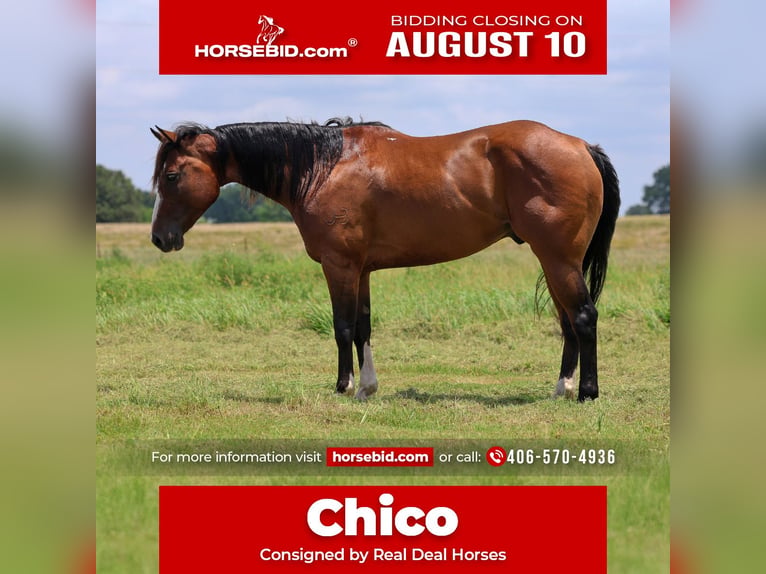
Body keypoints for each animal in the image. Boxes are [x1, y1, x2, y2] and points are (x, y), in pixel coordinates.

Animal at [150, 118, 620, 402]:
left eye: (171, 175)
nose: (160, 238)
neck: (324, 167)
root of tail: (582, 146)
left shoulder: (339, 265)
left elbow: (341, 327)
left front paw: (343, 387)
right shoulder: (361, 270)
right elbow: (363, 327)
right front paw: (367, 388)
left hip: (558, 258)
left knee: (583, 316)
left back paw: (587, 392)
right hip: (555, 261)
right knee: (567, 321)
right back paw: (562, 387)